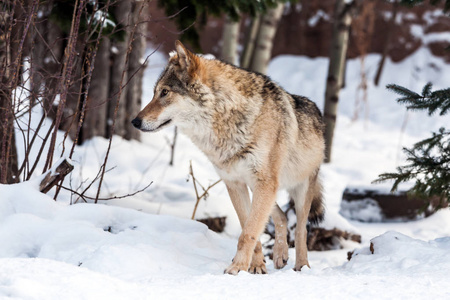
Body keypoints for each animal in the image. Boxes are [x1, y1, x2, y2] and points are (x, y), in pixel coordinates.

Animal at [132, 41, 326, 276]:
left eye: (164, 92)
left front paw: (237, 268)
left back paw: (302, 266)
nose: (135, 121)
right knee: (280, 216)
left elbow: (248, 232)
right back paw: (279, 256)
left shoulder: (264, 184)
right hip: (261, 188)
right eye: (154, 93)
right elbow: (249, 228)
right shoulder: (235, 183)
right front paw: (254, 266)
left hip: (298, 190)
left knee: (300, 229)